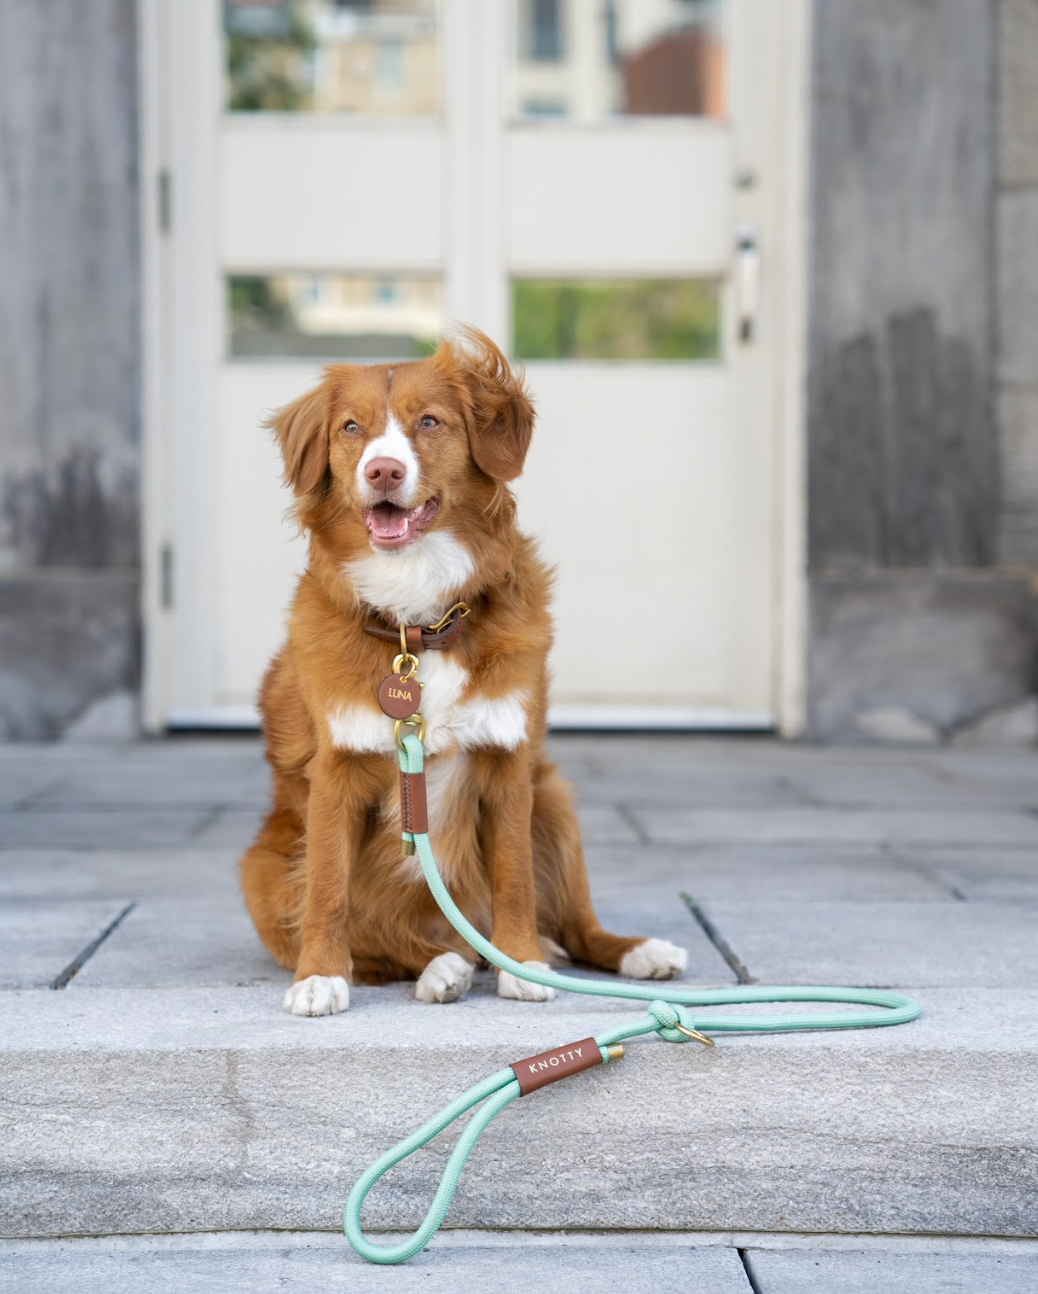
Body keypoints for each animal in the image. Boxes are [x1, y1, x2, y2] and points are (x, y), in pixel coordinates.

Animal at [238, 323, 683, 1009]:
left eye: (429, 421)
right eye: (350, 428)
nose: (383, 469)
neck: (418, 624)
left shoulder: (508, 762)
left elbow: (515, 879)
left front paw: (522, 964)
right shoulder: (335, 774)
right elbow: (328, 890)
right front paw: (319, 977)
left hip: (553, 800)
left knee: (577, 927)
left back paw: (633, 952)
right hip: (263, 868)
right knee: (393, 944)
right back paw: (439, 968)